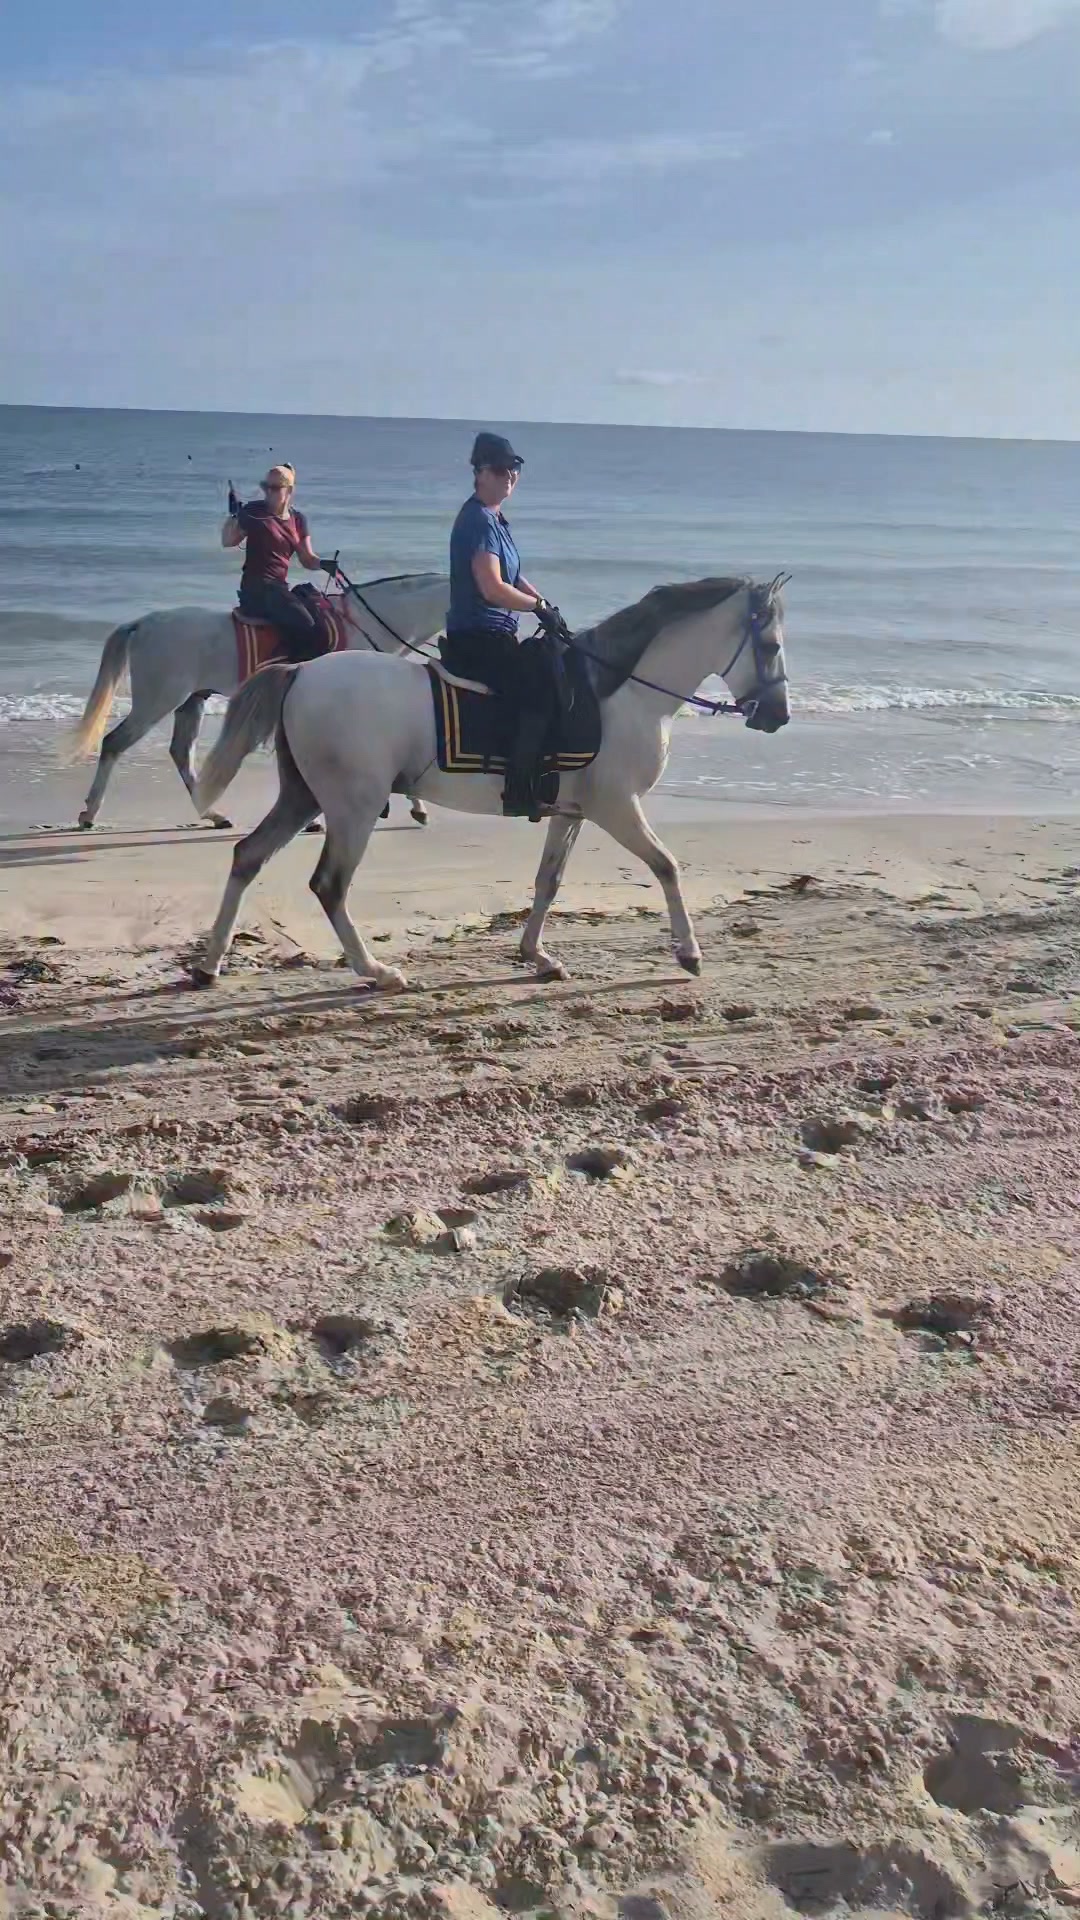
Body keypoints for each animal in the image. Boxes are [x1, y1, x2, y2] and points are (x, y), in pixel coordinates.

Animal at [65, 572, 451, 830]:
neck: (368, 624)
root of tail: (143, 623)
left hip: (191, 701)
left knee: (181, 753)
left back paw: (213, 814)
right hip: (158, 700)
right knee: (114, 743)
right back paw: (89, 813)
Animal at [190, 575, 790, 989]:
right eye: (770, 647)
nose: (778, 716)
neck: (622, 693)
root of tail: (302, 672)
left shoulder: (573, 813)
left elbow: (549, 881)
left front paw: (537, 956)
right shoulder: (616, 807)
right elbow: (665, 865)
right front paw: (688, 953)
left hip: (304, 796)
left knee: (247, 857)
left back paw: (210, 965)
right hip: (351, 807)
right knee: (329, 885)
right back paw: (376, 971)